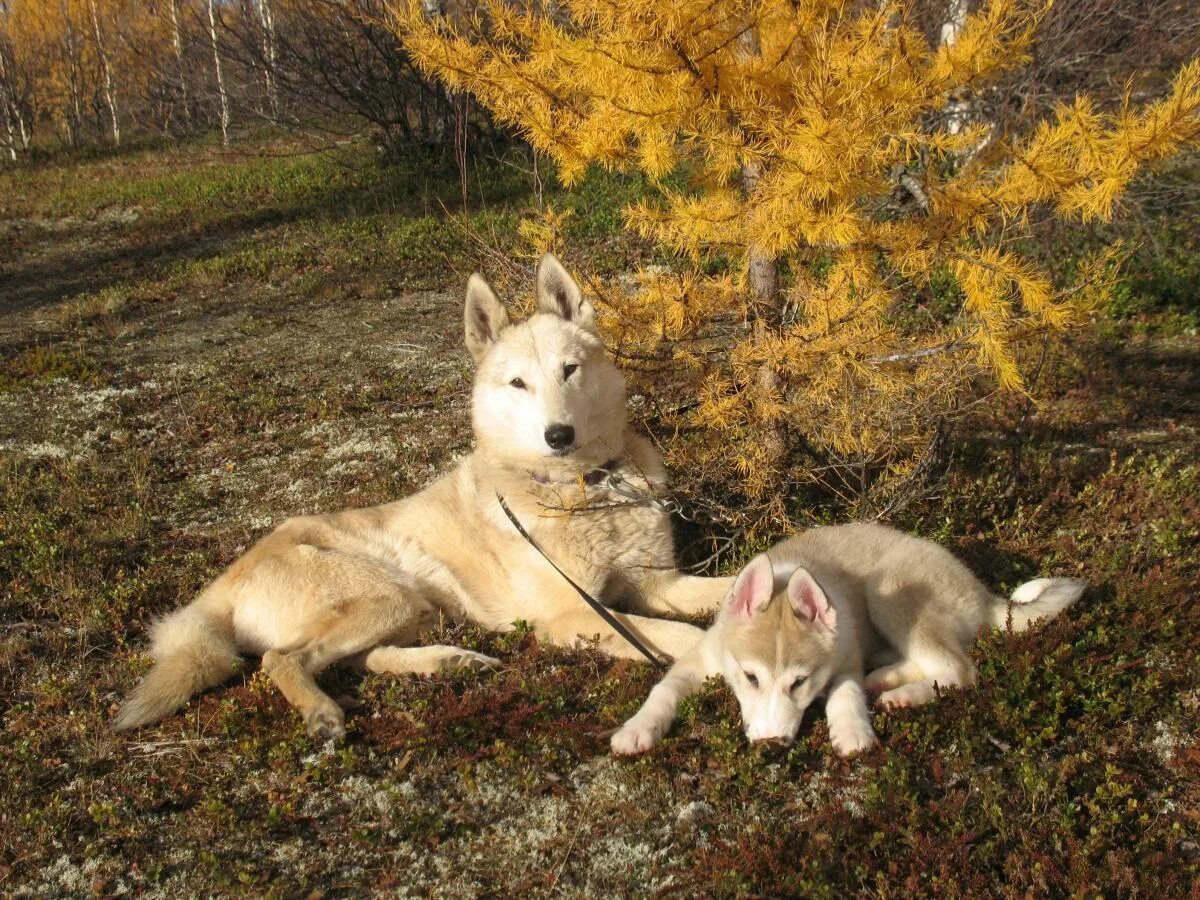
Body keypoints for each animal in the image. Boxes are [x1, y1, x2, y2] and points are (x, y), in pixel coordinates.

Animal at [114, 254, 729, 739]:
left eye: (569, 371)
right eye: (518, 384)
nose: (558, 436)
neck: (584, 489)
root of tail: (225, 580)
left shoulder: (659, 583)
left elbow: (727, 588)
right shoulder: (573, 613)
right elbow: (684, 635)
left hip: (411, 609)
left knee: (363, 659)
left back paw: (450, 663)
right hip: (384, 596)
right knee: (281, 660)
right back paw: (322, 712)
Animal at [614, 525, 1084, 758]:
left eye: (799, 683)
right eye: (750, 677)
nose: (771, 746)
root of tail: (986, 596)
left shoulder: (844, 662)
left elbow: (845, 695)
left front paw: (852, 732)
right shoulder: (699, 658)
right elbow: (662, 691)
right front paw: (636, 730)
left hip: (887, 589)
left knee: (959, 670)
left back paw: (904, 696)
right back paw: (888, 681)